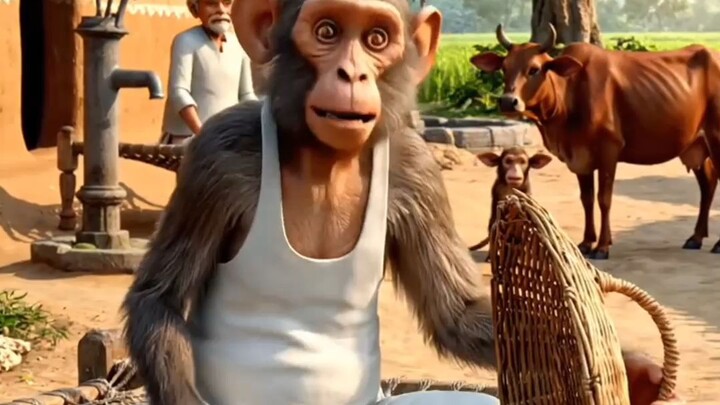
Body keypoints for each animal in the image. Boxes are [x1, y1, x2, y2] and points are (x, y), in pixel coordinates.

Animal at [120, 0, 676, 404]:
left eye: (376, 39)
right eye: (326, 32)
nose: (352, 75)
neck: (324, 157)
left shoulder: (416, 169)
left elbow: (455, 311)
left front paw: (636, 368)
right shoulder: (220, 155)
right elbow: (160, 297)